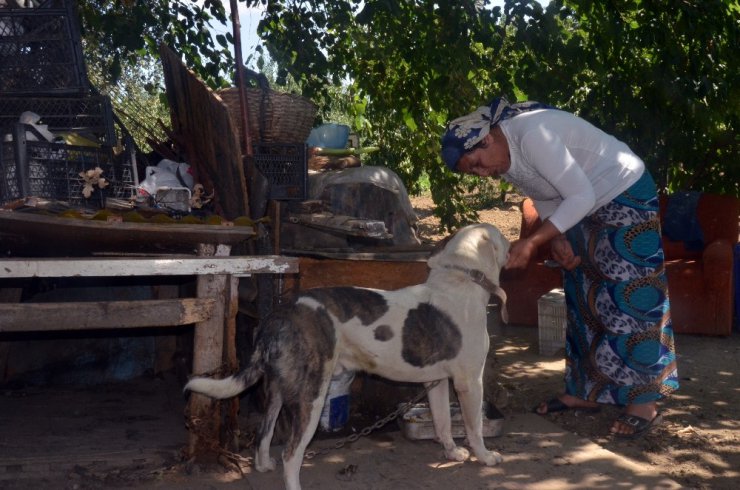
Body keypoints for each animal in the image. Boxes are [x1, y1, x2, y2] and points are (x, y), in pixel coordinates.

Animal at [185, 223, 508, 490]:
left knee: (265, 431)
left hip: (277, 389)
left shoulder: (436, 382)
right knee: (291, 453)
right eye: (500, 238)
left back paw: (264, 465)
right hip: (312, 394)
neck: (463, 282)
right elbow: (474, 427)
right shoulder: (470, 382)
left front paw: (451, 452)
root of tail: (280, 313)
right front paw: (485, 457)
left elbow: (443, 423)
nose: (511, 244)